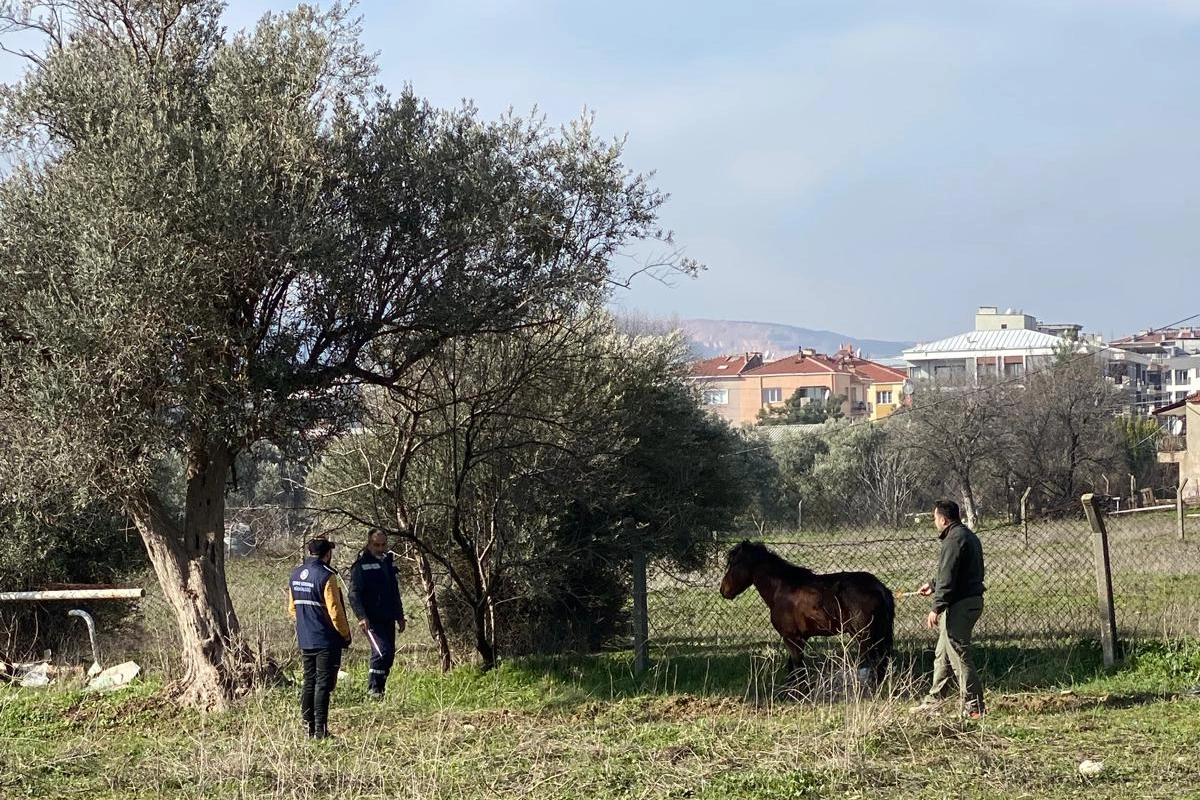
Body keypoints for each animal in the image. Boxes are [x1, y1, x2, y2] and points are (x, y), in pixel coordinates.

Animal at [715, 542, 897, 690]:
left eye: (734, 563)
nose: (724, 590)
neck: (782, 589)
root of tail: (878, 587)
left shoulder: (792, 639)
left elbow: (797, 667)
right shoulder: (799, 639)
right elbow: (794, 667)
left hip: (864, 637)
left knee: (875, 663)